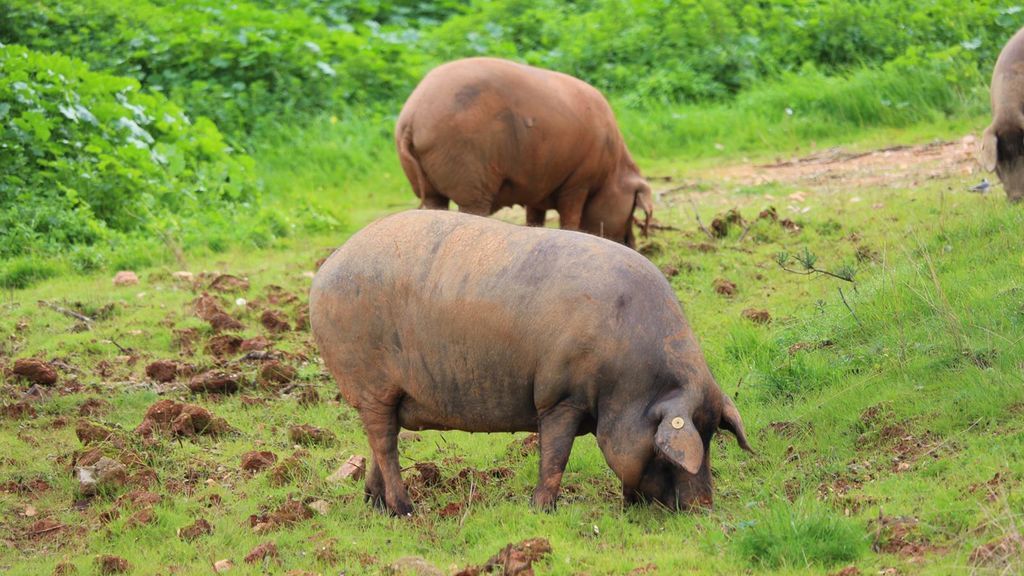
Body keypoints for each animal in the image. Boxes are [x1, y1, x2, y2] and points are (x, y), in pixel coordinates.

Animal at [307, 208, 749, 512]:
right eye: (670, 451)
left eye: (712, 434)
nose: (704, 508)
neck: (630, 382)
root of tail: (329, 266)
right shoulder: (560, 396)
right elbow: (555, 455)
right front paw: (543, 510)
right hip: (369, 383)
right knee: (384, 444)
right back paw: (407, 510)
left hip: (386, 395)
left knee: (380, 442)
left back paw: (375, 505)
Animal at [395, 56, 651, 247]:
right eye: (632, 210)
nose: (632, 245)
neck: (612, 171)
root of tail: (413, 117)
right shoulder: (579, 182)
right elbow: (571, 217)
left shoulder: (538, 187)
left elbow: (535, 218)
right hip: (470, 178)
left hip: (432, 188)